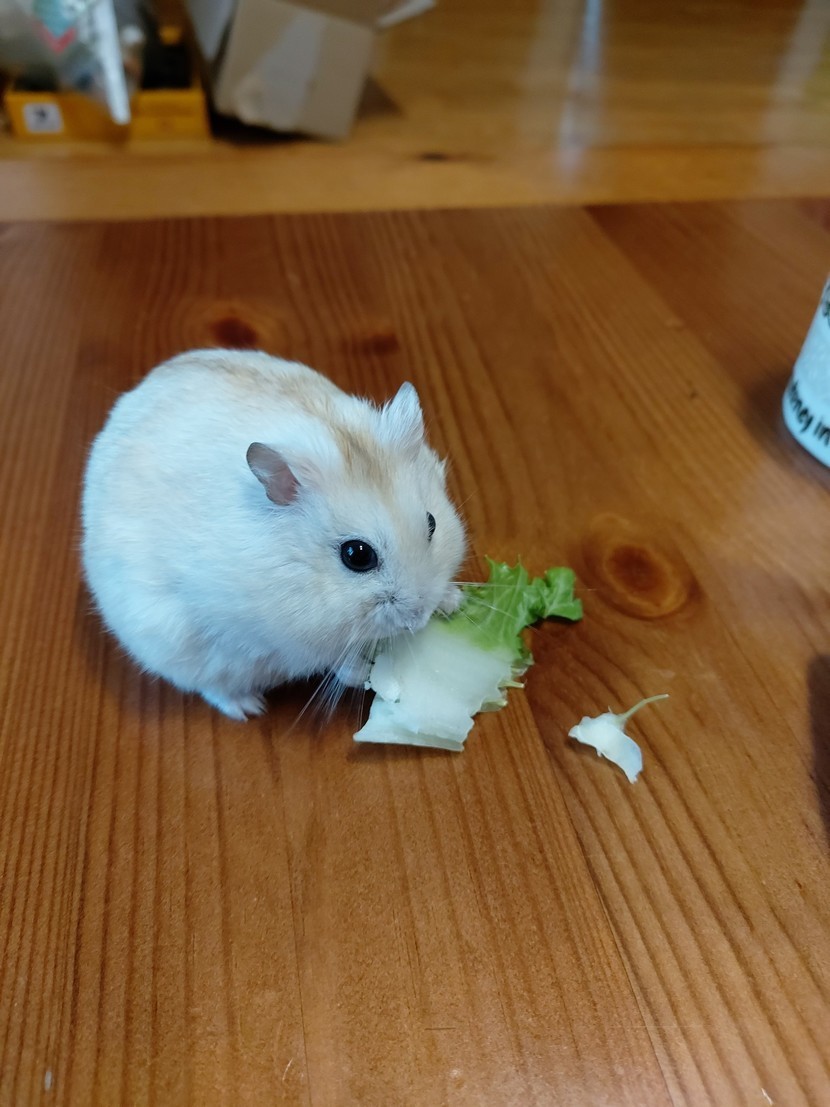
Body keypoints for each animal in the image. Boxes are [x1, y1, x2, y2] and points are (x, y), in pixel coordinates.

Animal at [81, 349, 467, 720]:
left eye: (432, 523)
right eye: (357, 555)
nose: (418, 619)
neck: (297, 568)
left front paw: (454, 601)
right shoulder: (283, 638)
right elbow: (330, 658)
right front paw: (362, 673)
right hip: (176, 648)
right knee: (213, 686)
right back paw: (249, 708)